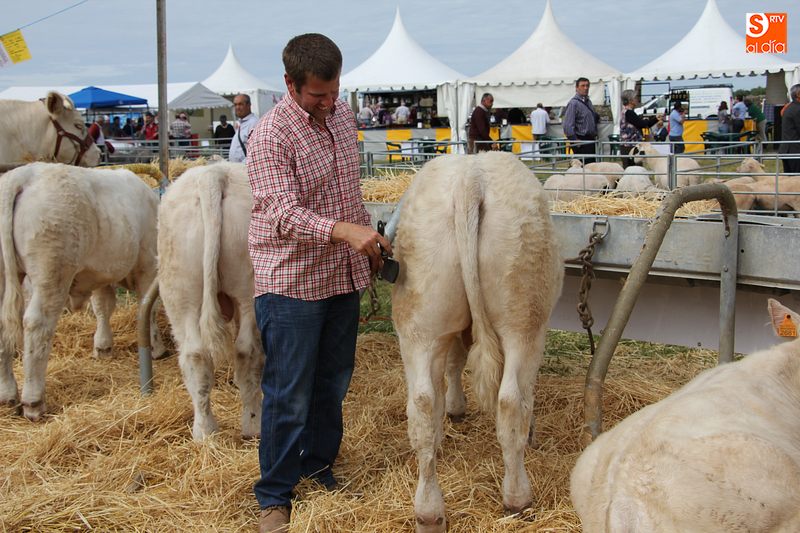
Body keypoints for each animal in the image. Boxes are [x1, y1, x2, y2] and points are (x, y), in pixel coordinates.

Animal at [0, 163, 164, 420]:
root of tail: (22, 175)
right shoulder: (148, 266)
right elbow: (149, 309)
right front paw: (156, 347)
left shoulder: (102, 273)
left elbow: (103, 307)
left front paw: (103, 346)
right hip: (52, 273)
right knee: (37, 325)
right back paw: (33, 401)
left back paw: (7, 395)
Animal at [157, 162, 263, 440]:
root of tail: (213, 175)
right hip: (248, 290)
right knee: (247, 351)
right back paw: (251, 424)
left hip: (180, 293)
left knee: (197, 354)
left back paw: (206, 430)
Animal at [391, 152, 564, 532]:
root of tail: (470, 178)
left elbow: (452, 366)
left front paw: (452, 413)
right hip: (524, 322)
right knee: (511, 400)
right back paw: (517, 498)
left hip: (419, 323)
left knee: (421, 404)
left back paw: (428, 511)